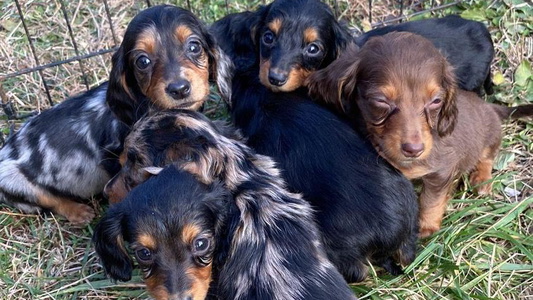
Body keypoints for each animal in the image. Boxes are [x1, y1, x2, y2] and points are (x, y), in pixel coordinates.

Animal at [0, 4, 222, 224]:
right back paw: (79, 212)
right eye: (142, 61)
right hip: (14, 180)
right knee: (51, 200)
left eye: (194, 47)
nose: (179, 89)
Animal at [306, 31, 532, 238]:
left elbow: (431, 200)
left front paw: (426, 227)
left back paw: (481, 179)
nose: (414, 150)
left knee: (487, 157)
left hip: (490, 136)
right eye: (380, 101)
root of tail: (490, 107)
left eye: (436, 101)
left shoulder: (441, 171)